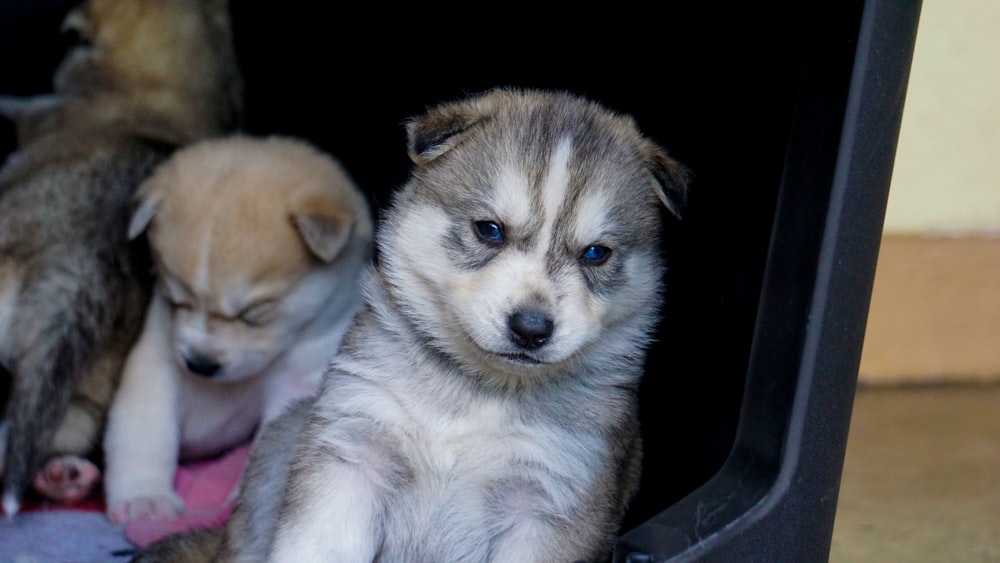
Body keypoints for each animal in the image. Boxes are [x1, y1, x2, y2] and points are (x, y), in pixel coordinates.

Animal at [103, 135, 374, 524]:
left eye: (254, 312)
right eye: (175, 298)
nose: (200, 364)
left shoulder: (297, 380)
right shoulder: (157, 364)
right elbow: (145, 432)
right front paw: (145, 499)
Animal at [137, 88, 692, 563]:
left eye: (596, 254)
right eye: (489, 230)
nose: (532, 328)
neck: (475, 392)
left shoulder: (549, 503)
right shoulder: (353, 454)